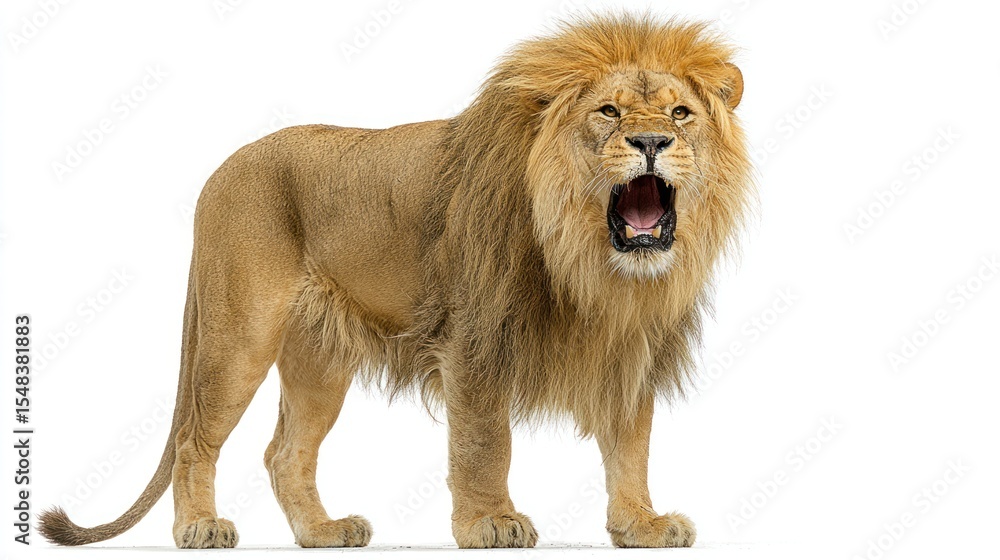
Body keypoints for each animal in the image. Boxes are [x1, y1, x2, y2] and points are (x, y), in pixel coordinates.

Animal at [38, 14, 751, 549]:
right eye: (607, 111)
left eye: (681, 114)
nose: (652, 142)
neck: (591, 264)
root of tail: (219, 170)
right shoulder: (473, 342)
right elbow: (483, 443)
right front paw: (490, 522)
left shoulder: (630, 346)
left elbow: (632, 444)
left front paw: (640, 524)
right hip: (238, 334)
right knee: (195, 437)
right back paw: (199, 528)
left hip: (319, 359)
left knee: (285, 453)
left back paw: (323, 532)